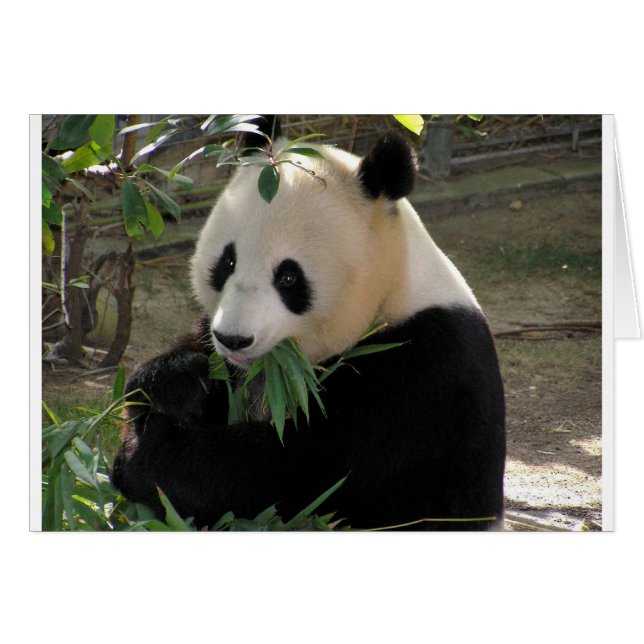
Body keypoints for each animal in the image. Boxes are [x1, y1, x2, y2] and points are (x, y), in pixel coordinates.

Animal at [111, 117, 506, 531]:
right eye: (227, 262)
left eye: (288, 277)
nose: (233, 339)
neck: (390, 295)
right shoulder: (221, 348)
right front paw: (176, 384)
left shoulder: (421, 370)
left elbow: (302, 471)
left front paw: (147, 458)